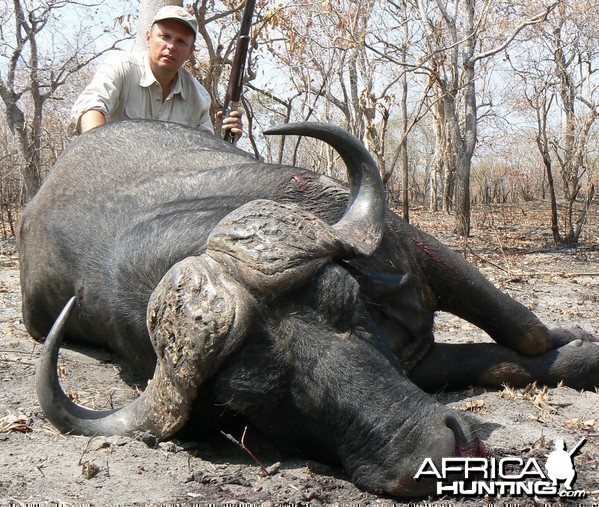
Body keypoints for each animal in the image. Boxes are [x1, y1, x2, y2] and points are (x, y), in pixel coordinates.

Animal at [17, 119, 599, 496]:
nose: (432, 451)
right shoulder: (418, 359)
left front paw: (576, 339)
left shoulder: (422, 253)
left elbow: (523, 333)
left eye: (346, 303)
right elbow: (504, 358)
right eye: (252, 402)